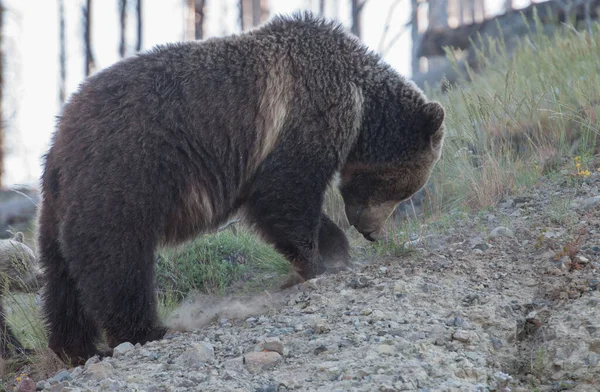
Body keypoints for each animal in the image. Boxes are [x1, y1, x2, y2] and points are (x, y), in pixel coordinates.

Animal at [35, 10, 442, 366]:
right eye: (404, 189)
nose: (372, 232)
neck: (360, 104)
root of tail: (61, 137)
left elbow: (276, 204)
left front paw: (334, 250)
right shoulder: (303, 115)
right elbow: (285, 195)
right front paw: (316, 261)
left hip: (58, 198)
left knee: (60, 275)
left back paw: (75, 346)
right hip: (127, 168)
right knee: (115, 255)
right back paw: (144, 330)